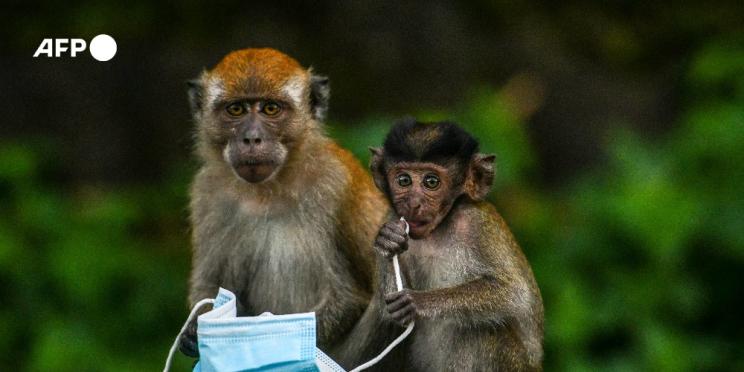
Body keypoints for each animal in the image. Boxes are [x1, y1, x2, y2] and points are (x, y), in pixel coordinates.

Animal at [370, 120, 540, 372]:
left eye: (431, 182)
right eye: (403, 180)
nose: (413, 203)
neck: (437, 231)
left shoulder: (477, 223)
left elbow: (514, 292)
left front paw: (419, 301)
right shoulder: (391, 215)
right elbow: (390, 313)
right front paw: (387, 239)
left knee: (483, 328)